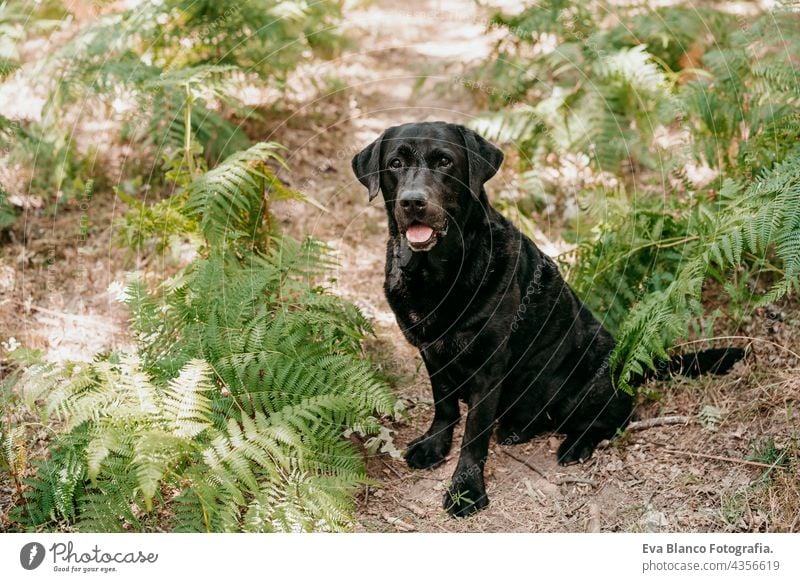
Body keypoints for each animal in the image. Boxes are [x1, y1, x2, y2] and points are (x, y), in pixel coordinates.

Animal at [354, 121, 740, 516]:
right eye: (395, 163)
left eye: (445, 161)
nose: (412, 201)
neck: (437, 273)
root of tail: (624, 362)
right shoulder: (431, 353)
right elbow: (444, 406)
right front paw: (434, 446)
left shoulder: (488, 367)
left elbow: (474, 436)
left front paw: (466, 490)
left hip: (589, 376)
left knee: (618, 415)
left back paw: (576, 444)